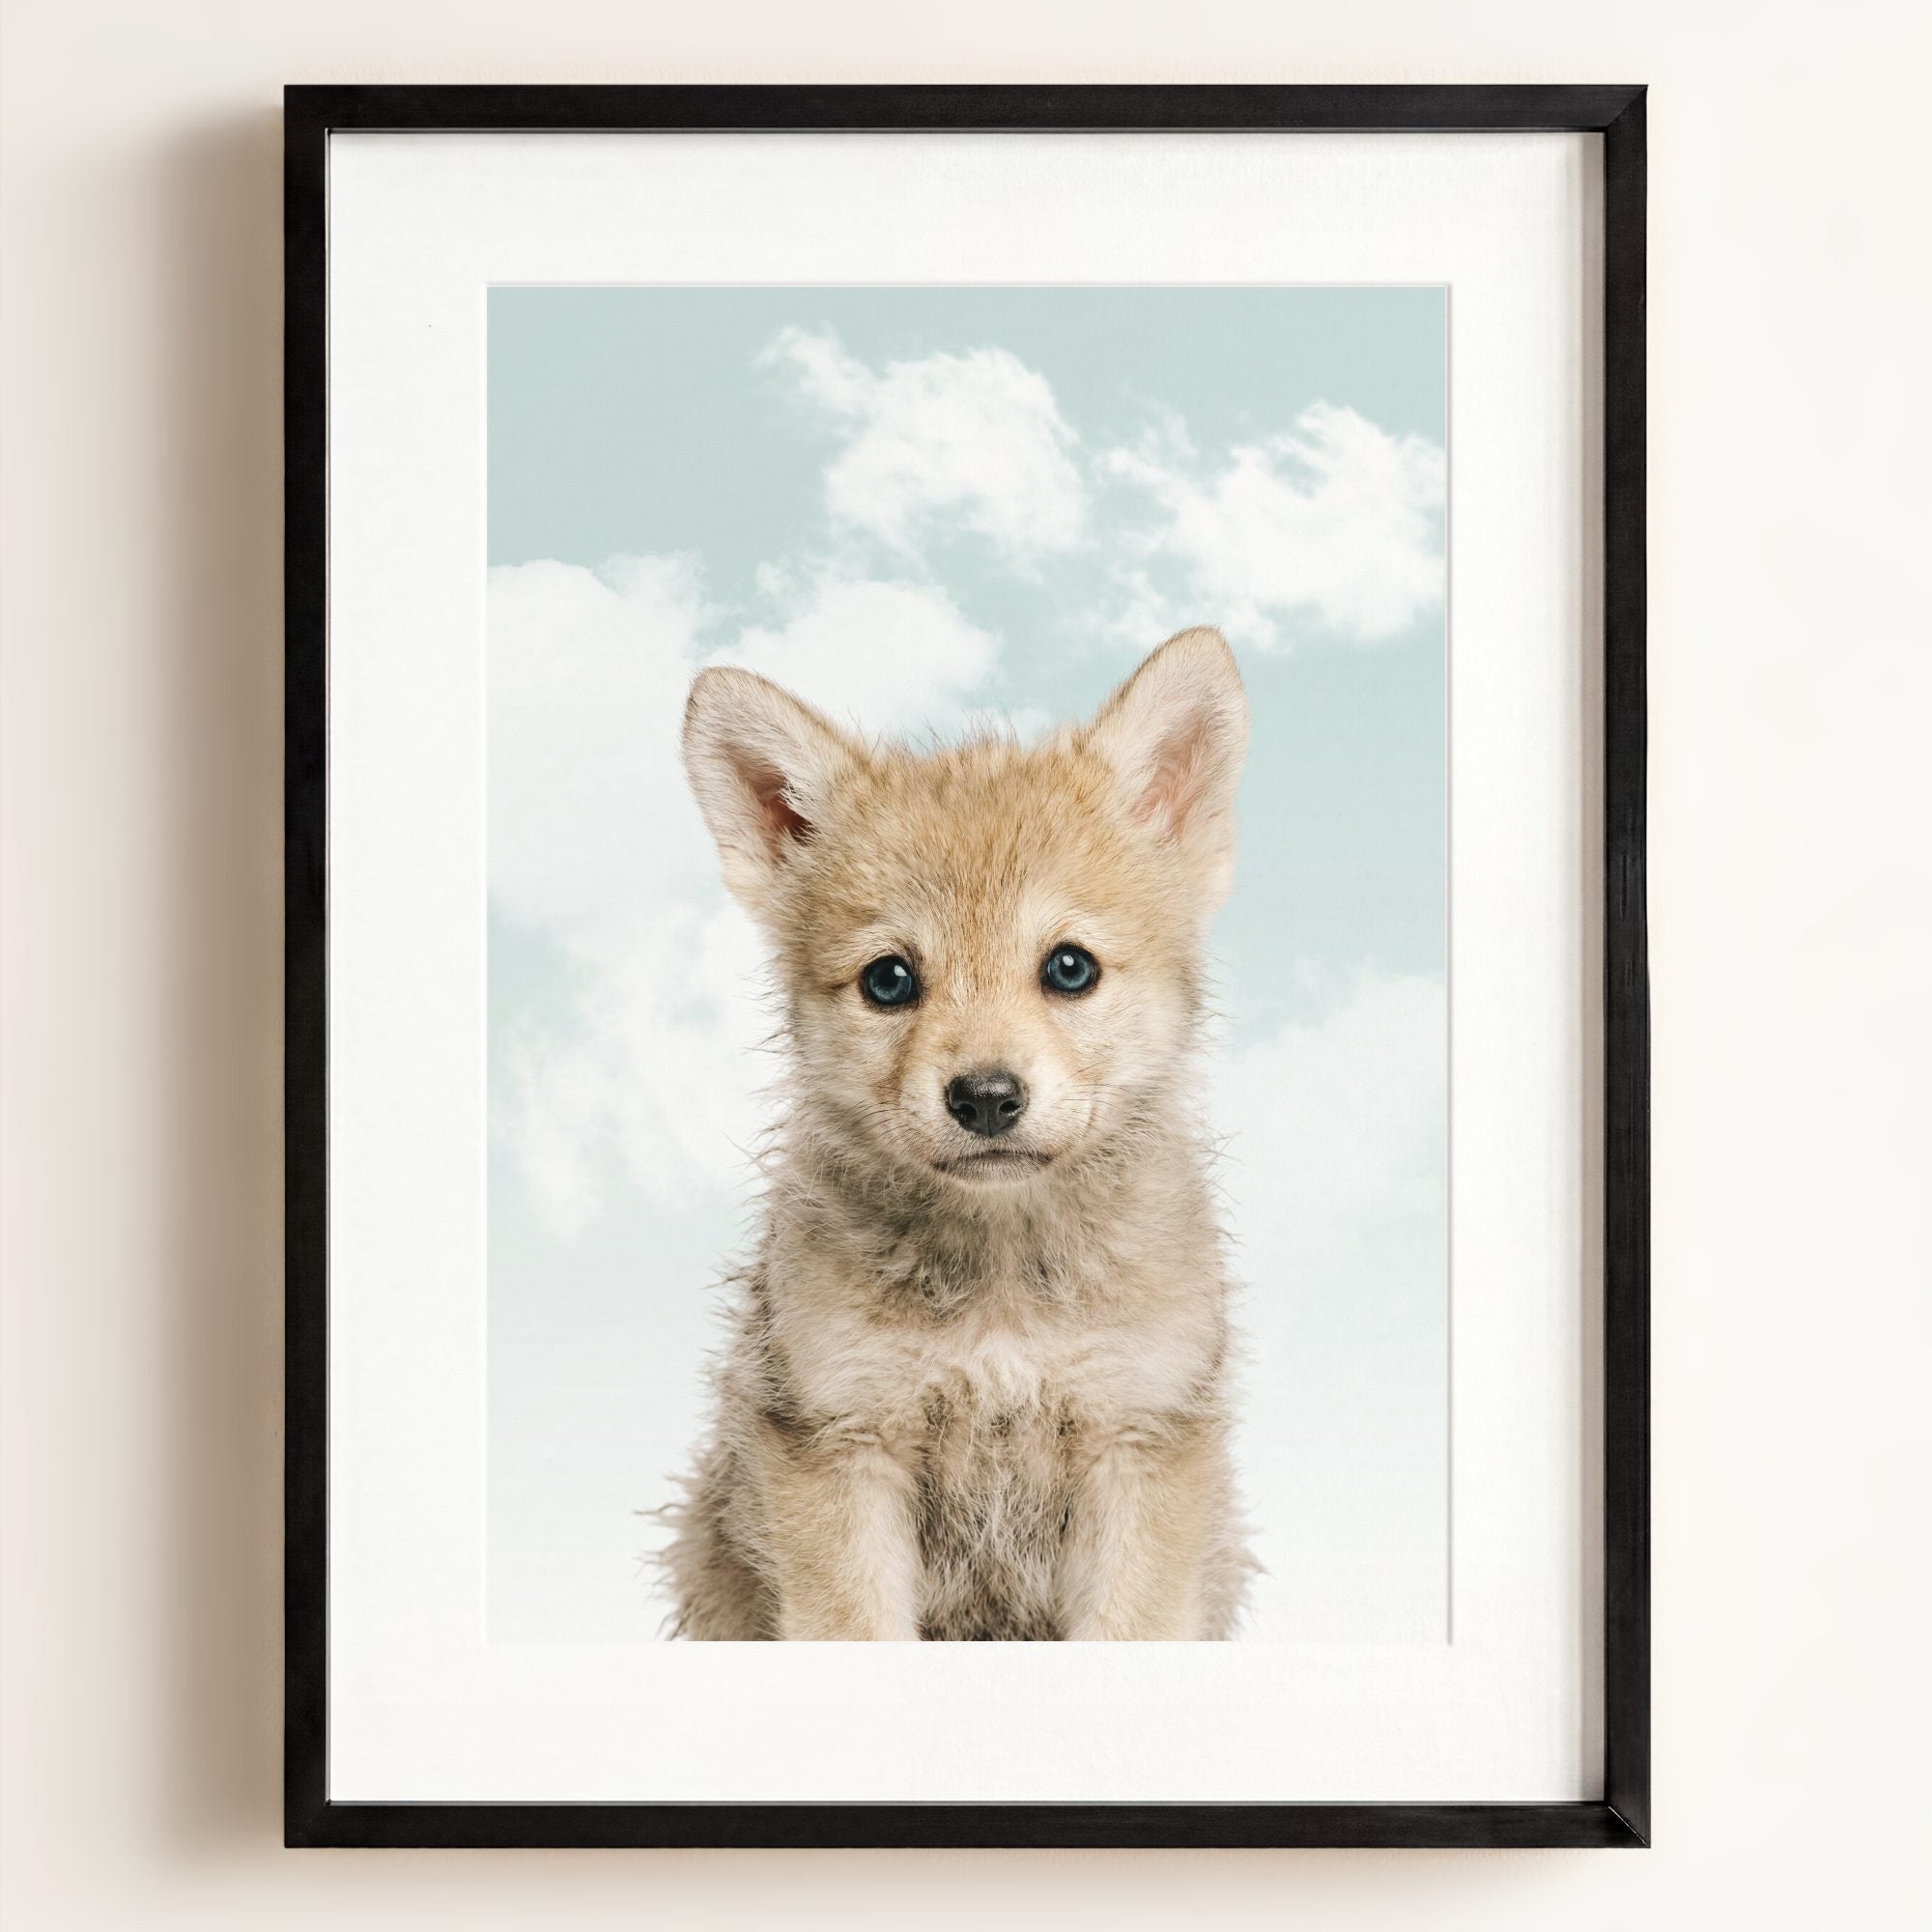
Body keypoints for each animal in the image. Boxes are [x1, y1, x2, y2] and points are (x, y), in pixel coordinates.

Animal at [661, 627, 1253, 1639]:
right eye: (889, 980)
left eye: (1069, 968)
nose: (984, 1098)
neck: (1002, 1297)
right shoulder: (841, 1446)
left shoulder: (1139, 1442)